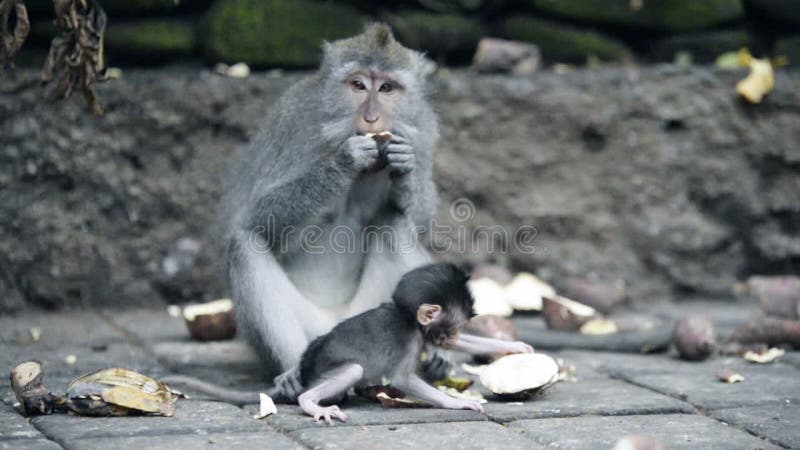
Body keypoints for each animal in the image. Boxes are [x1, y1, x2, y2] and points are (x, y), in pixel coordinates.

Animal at [294, 262, 532, 424]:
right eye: (453, 327)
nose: (453, 334)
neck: (407, 317)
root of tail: (306, 362)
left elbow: (454, 345)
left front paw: (514, 347)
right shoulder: (410, 339)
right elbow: (402, 378)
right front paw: (456, 402)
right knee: (354, 370)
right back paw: (309, 402)